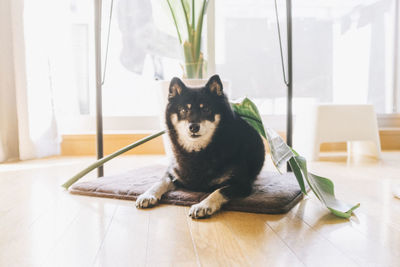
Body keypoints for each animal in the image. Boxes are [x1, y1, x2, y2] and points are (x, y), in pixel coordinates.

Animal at [135, 74, 266, 219]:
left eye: (206, 109)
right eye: (183, 110)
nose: (193, 127)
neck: (197, 152)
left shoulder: (242, 184)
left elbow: (219, 191)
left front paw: (203, 205)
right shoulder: (173, 173)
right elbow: (160, 181)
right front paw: (148, 195)